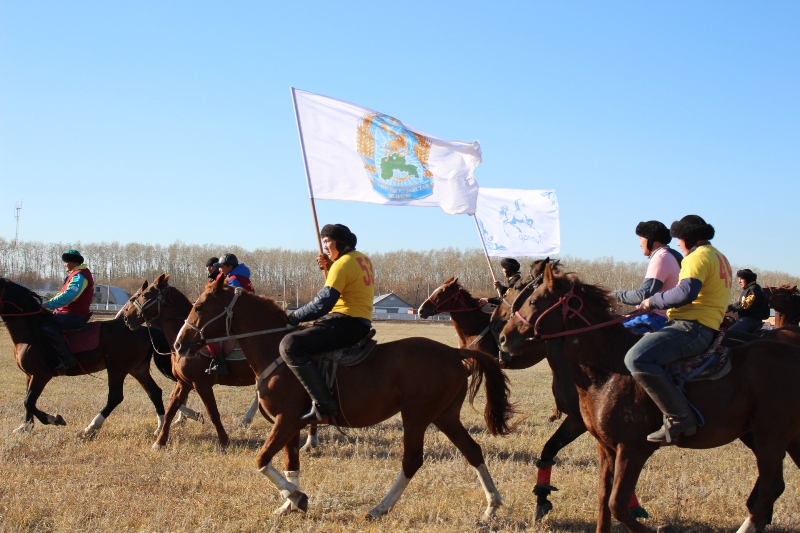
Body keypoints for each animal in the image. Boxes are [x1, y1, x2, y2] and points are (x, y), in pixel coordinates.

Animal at [0, 276, 169, 434]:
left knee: (115, 397)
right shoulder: (29, 375)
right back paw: (160, 427)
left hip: (117, 368)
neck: (32, 333)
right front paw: (25, 426)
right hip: (137, 369)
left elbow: (28, 401)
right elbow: (28, 400)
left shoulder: (41, 375)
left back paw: (92, 427)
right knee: (154, 392)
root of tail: (143, 330)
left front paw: (53, 419)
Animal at [173, 274, 512, 520]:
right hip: (444, 417)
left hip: (416, 417)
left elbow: (262, 460)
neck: (273, 348)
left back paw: (380, 508)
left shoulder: (285, 420)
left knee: (412, 461)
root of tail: (454, 353)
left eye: (199, 307)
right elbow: (290, 464)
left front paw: (296, 497)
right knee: (473, 451)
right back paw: (492, 506)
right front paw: (289, 502)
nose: (178, 344)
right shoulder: (291, 425)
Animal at [500, 262, 800, 532]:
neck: (607, 370)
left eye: (534, 300)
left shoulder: (633, 448)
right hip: (776, 438)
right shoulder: (605, 447)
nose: (503, 339)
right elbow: (603, 500)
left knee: (772, 485)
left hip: (769, 436)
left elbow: (617, 504)